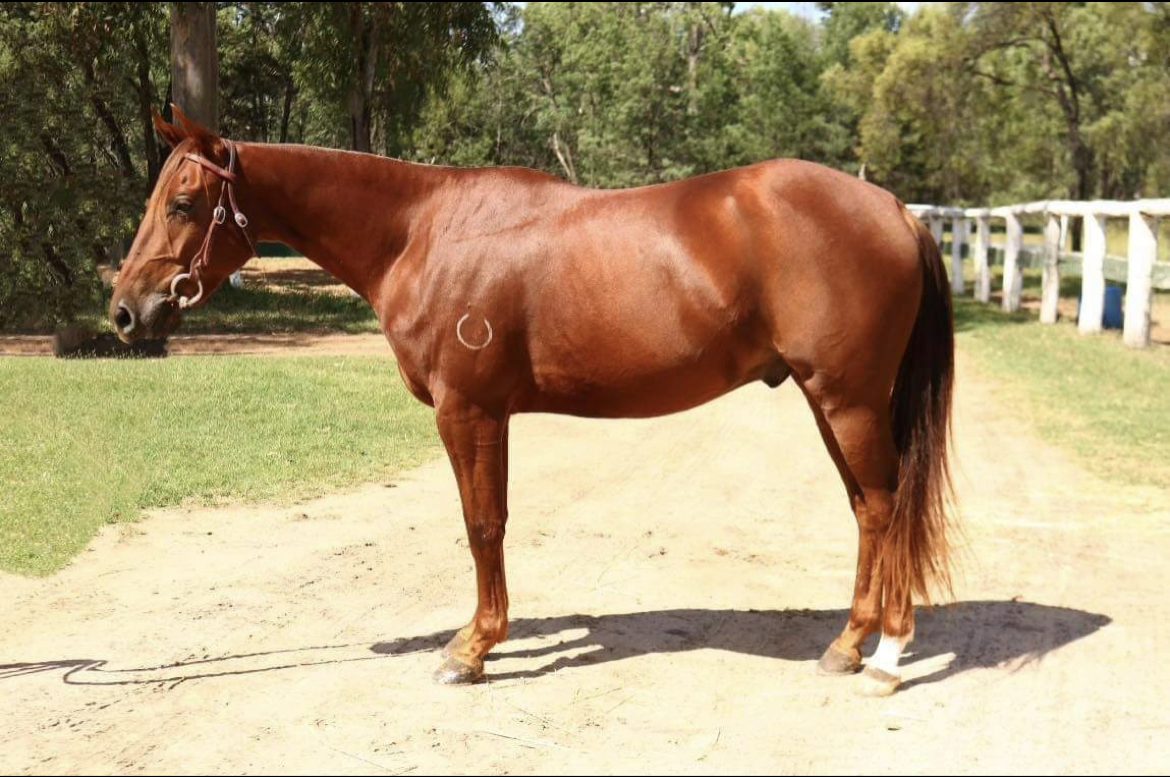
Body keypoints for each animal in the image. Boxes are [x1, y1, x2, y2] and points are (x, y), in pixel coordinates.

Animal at [111, 106, 954, 697]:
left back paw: (885, 655)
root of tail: (896, 210)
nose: (124, 311)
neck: (422, 231)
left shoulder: (468, 410)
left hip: (847, 401)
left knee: (885, 505)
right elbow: (494, 522)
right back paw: (848, 645)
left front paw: (470, 649)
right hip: (829, 401)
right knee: (867, 510)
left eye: (183, 203)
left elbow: (482, 525)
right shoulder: (493, 414)